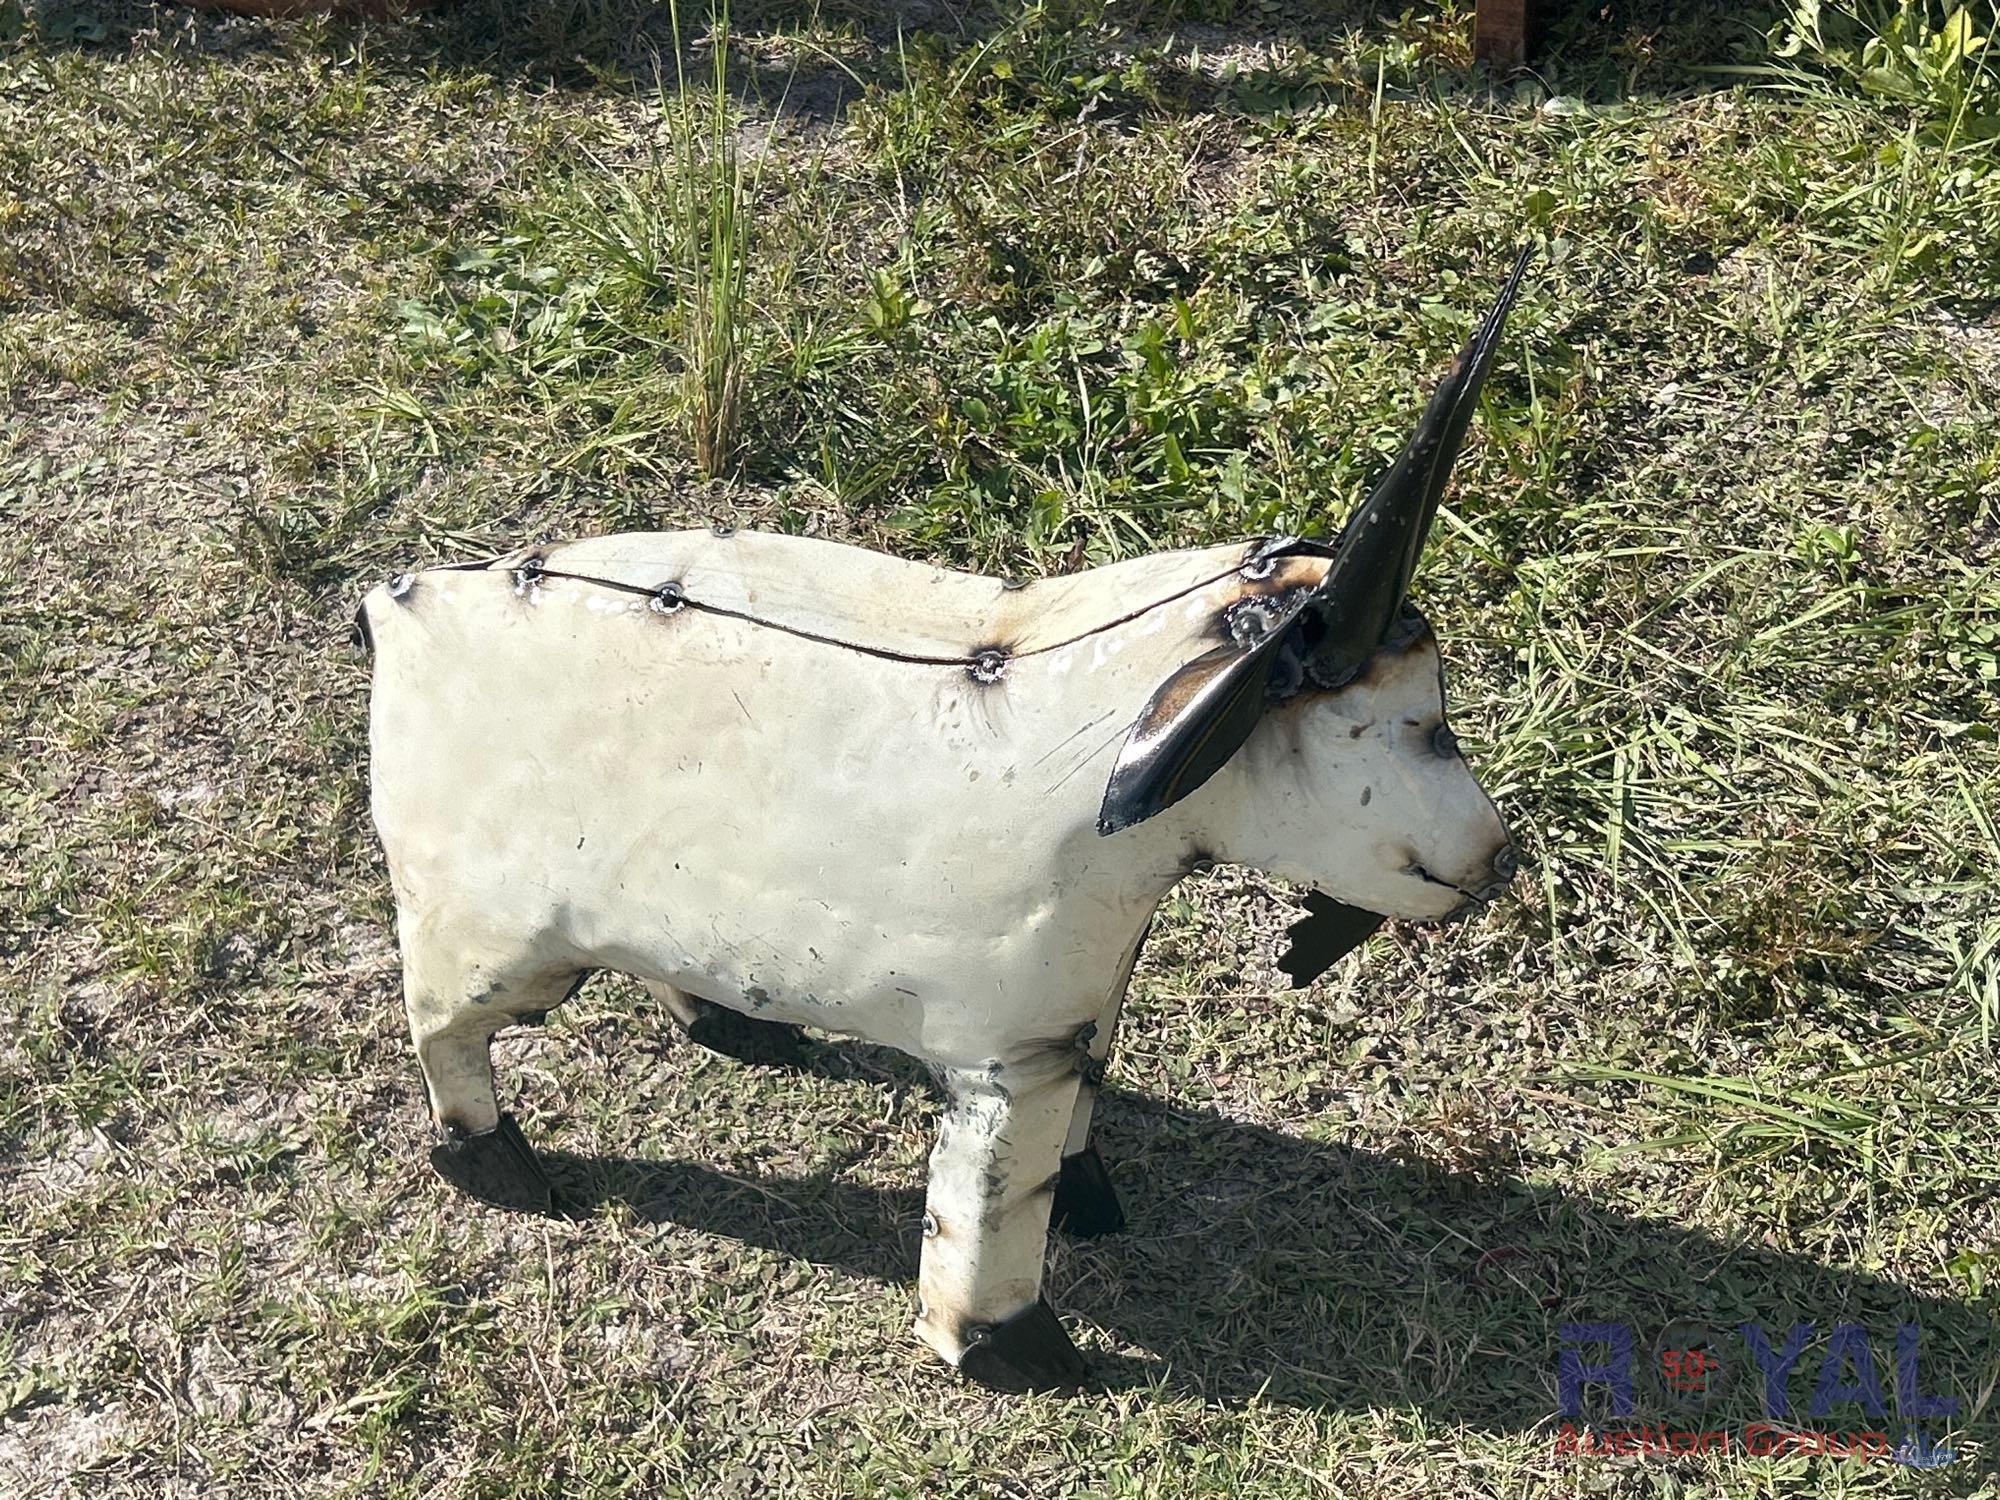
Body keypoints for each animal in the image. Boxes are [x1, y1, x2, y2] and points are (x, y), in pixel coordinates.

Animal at [360, 249, 1530, 1392]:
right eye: (1410, 726)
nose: (1497, 861)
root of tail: (394, 600)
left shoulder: (1078, 1013)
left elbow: (1072, 1136)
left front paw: (1090, 1206)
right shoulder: (1001, 1060)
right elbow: (989, 1206)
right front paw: (1014, 1353)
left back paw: (736, 1027)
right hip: (483, 934)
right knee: (443, 1036)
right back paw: (499, 1169)